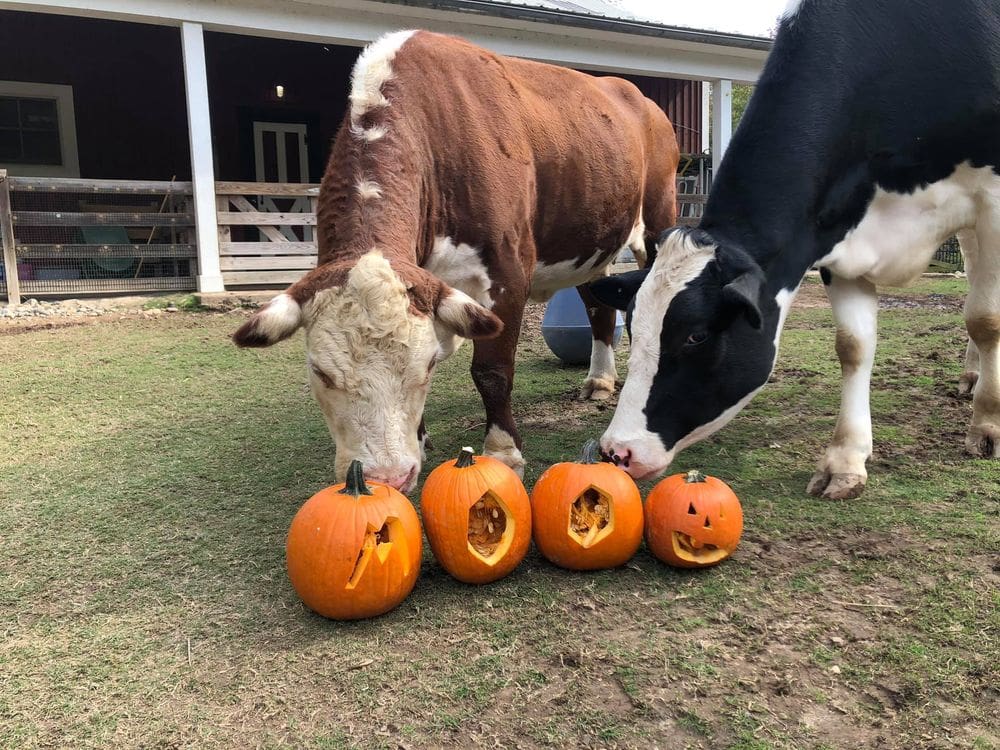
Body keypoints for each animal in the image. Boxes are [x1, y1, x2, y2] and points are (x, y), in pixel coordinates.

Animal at [232, 30, 680, 494]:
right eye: (320, 373)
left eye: (426, 368)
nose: (387, 477)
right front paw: (420, 439)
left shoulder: (506, 274)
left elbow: (492, 370)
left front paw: (503, 452)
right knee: (596, 304)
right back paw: (599, 379)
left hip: (658, 216)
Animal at [596, 1, 996, 506]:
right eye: (633, 327)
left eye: (696, 336)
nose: (617, 451)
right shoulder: (838, 228)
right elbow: (854, 345)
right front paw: (845, 461)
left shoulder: (991, 197)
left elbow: (986, 319)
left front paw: (988, 427)